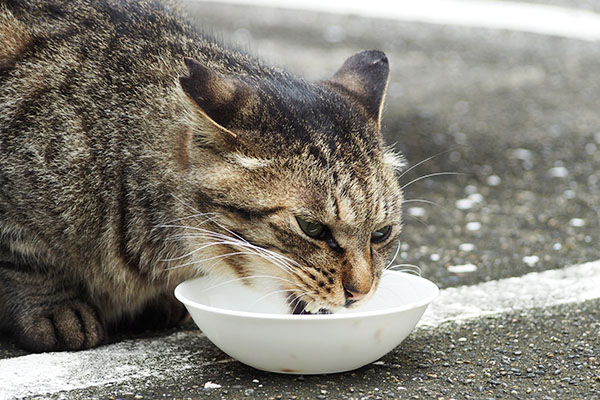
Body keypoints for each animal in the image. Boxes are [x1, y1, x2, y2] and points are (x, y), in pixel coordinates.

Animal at [0, 0, 406, 352]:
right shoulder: (15, 213)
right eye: (312, 228)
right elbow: (26, 260)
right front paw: (55, 308)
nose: (361, 292)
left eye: (381, 233)